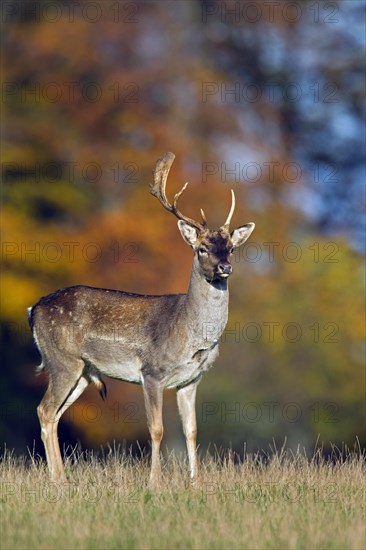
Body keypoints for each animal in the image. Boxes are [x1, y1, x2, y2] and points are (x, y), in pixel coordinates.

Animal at [29, 152, 254, 488]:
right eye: (202, 248)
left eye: (232, 248)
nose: (225, 267)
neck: (191, 334)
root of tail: (33, 310)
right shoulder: (152, 372)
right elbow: (157, 428)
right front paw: (155, 482)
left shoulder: (191, 379)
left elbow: (192, 430)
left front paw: (197, 483)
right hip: (62, 360)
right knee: (44, 410)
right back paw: (58, 481)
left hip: (83, 372)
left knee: (54, 415)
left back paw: (63, 479)